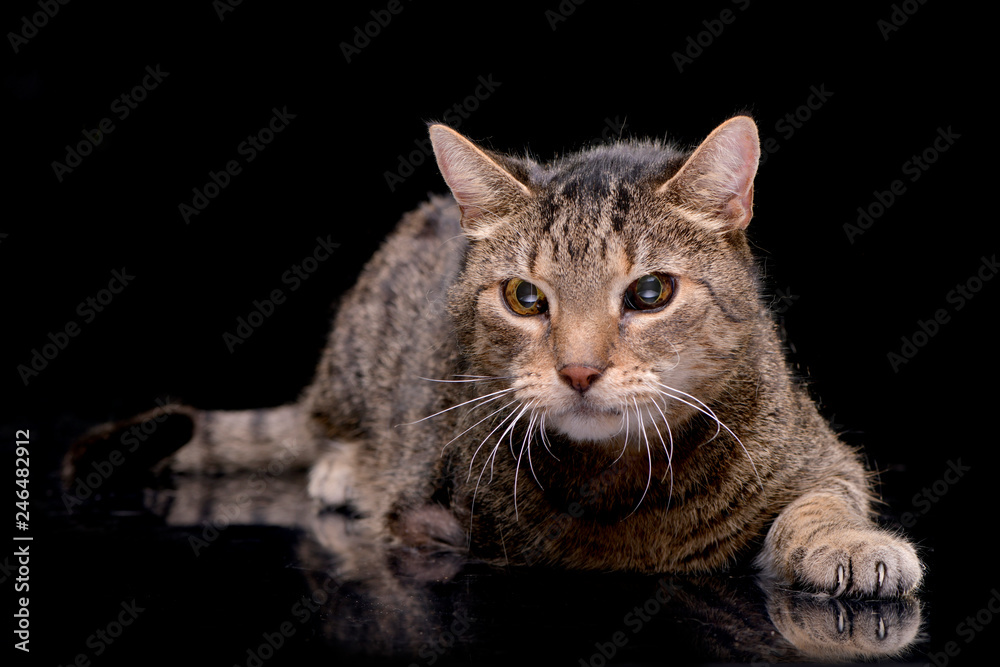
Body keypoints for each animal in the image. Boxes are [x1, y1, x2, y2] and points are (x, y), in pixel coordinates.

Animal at [64, 115, 920, 600]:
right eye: (524, 297)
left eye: (650, 293)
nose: (579, 370)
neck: (621, 478)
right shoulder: (432, 516)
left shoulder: (822, 456)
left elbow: (819, 504)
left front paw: (853, 546)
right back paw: (343, 465)